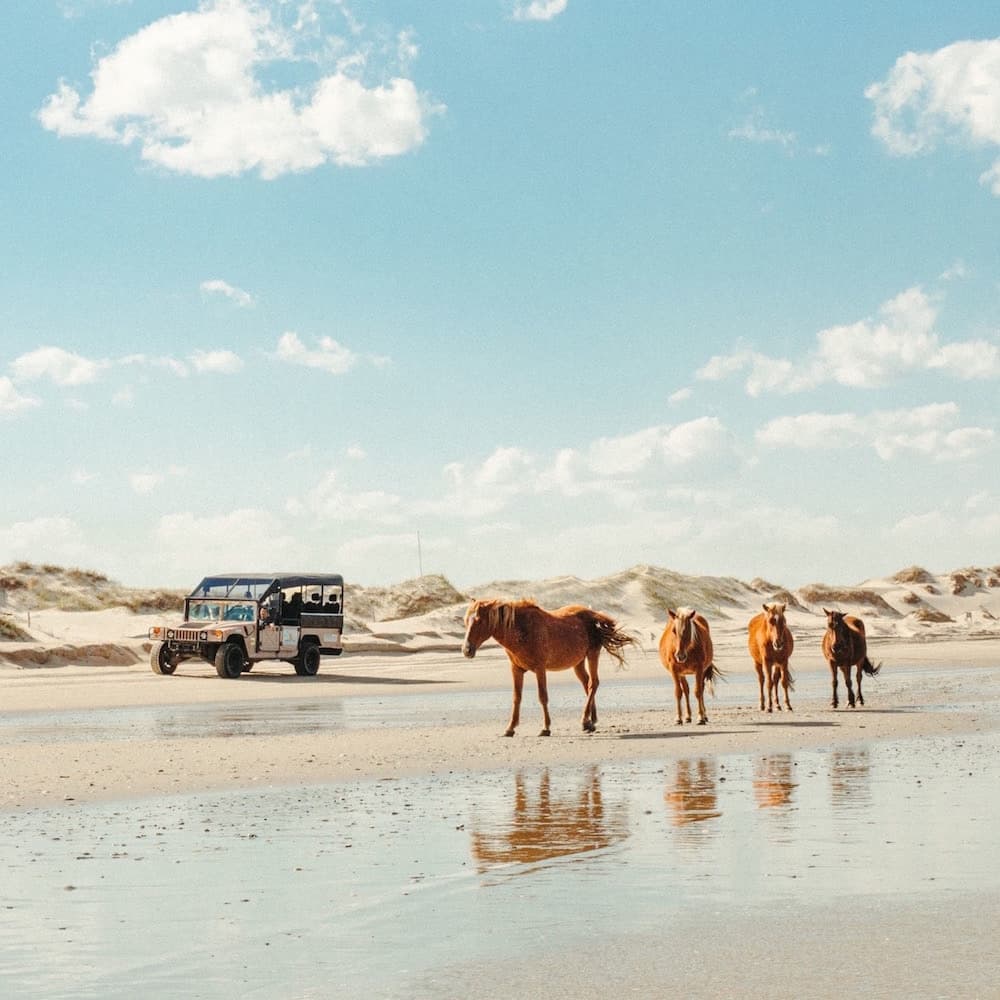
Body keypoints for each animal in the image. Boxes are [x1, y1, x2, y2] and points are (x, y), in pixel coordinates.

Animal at [462, 598, 635, 737]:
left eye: (478, 621)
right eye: (465, 621)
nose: (466, 650)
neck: (521, 630)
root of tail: (594, 614)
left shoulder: (540, 669)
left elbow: (542, 696)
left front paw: (546, 728)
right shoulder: (516, 670)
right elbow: (517, 698)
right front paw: (510, 728)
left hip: (593, 654)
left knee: (593, 684)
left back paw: (585, 721)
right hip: (578, 663)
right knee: (587, 684)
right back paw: (590, 722)